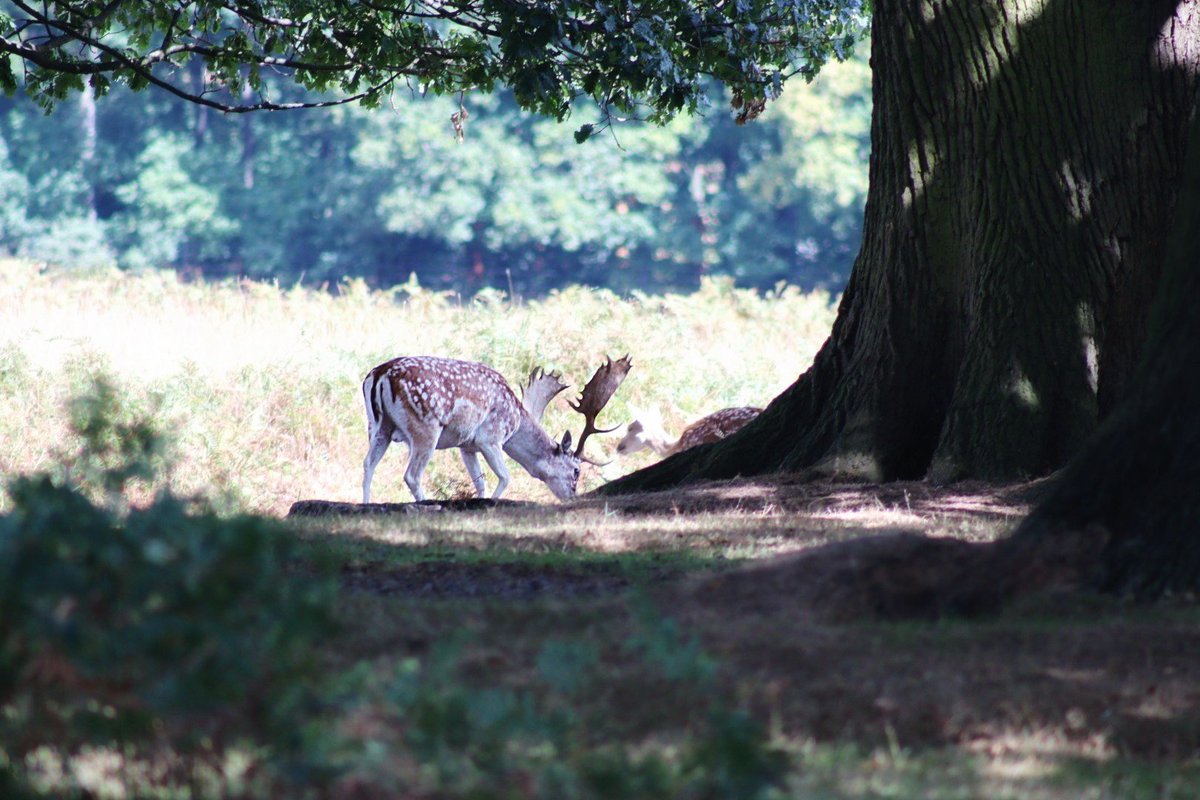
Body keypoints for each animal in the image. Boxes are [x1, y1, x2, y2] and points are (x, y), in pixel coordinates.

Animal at [361, 355, 630, 503]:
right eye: (576, 470)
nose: (572, 496)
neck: (516, 423)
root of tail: (380, 375)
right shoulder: (490, 438)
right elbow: (505, 477)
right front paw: (491, 502)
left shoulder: (466, 445)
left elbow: (480, 482)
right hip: (425, 427)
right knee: (411, 474)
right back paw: (425, 503)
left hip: (378, 426)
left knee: (368, 464)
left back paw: (365, 502)